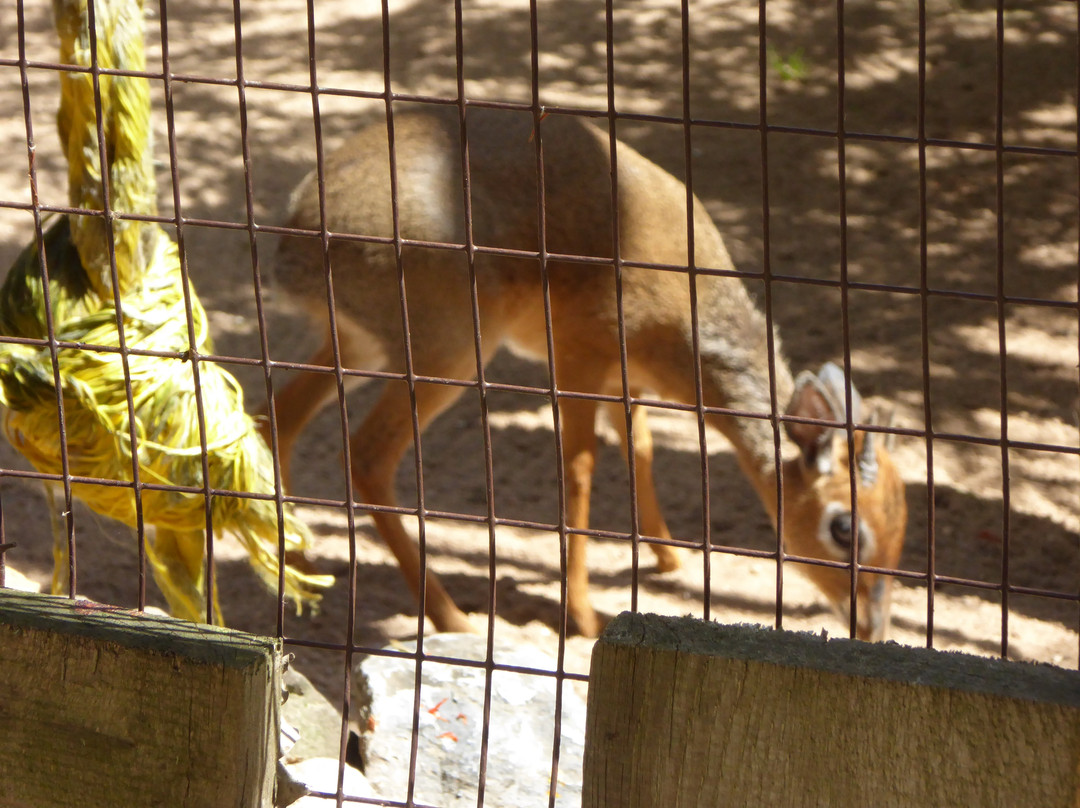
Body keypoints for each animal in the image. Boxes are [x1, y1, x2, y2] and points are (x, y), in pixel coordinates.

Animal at [265, 105, 907, 639]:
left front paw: (671, 557)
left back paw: (299, 565)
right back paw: (452, 617)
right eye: (844, 527)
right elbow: (579, 473)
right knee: (365, 454)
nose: (872, 626)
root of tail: (293, 244)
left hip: (363, 342)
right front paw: (586, 618)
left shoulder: (627, 383)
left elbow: (641, 447)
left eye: (904, 524)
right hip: (451, 346)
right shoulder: (578, 358)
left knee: (281, 413)